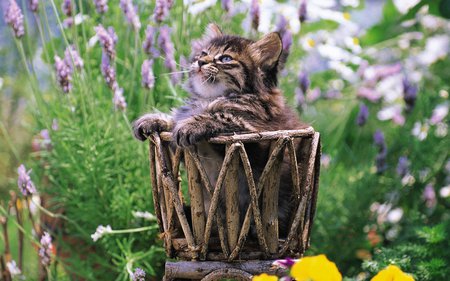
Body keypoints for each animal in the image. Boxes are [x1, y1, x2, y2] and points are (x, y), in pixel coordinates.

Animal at [134, 24, 308, 237]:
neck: (210, 98)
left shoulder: (258, 136)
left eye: (225, 59)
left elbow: (221, 117)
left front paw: (191, 124)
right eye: (203, 53)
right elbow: (175, 121)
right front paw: (154, 119)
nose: (200, 61)